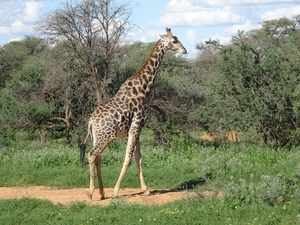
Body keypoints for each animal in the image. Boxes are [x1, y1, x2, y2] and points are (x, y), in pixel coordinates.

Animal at [81, 27, 185, 200]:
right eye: (174, 40)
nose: (185, 50)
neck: (143, 89)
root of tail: (91, 121)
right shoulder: (136, 126)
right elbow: (128, 159)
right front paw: (116, 191)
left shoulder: (137, 128)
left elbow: (139, 159)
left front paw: (146, 189)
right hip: (106, 136)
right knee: (91, 154)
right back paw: (90, 192)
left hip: (98, 136)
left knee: (98, 158)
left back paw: (102, 193)